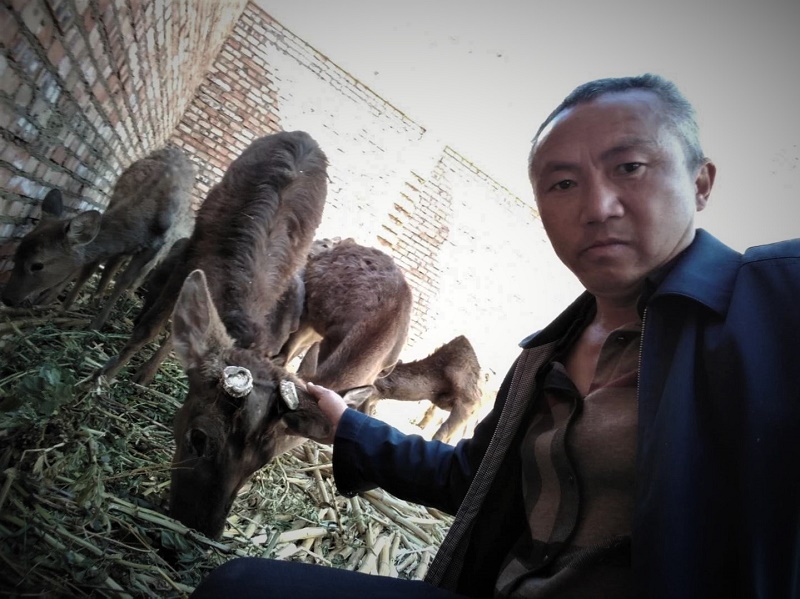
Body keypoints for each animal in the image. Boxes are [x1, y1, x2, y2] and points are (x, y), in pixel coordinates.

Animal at [0, 145, 196, 332]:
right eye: (16, 254)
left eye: (37, 265)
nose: (7, 298)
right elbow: (88, 268)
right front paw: (63, 306)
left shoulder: (155, 245)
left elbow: (123, 280)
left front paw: (97, 324)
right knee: (109, 264)